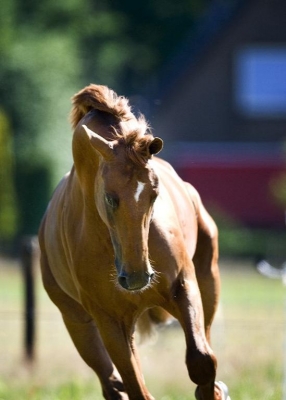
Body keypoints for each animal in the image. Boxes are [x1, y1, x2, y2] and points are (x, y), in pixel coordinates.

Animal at [38, 83, 230, 398]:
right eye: (109, 198)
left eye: (154, 193)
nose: (137, 277)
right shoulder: (109, 320)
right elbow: (134, 386)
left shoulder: (184, 285)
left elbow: (202, 360)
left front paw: (214, 390)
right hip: (77, 323)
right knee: (112, 384)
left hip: (208, 281)